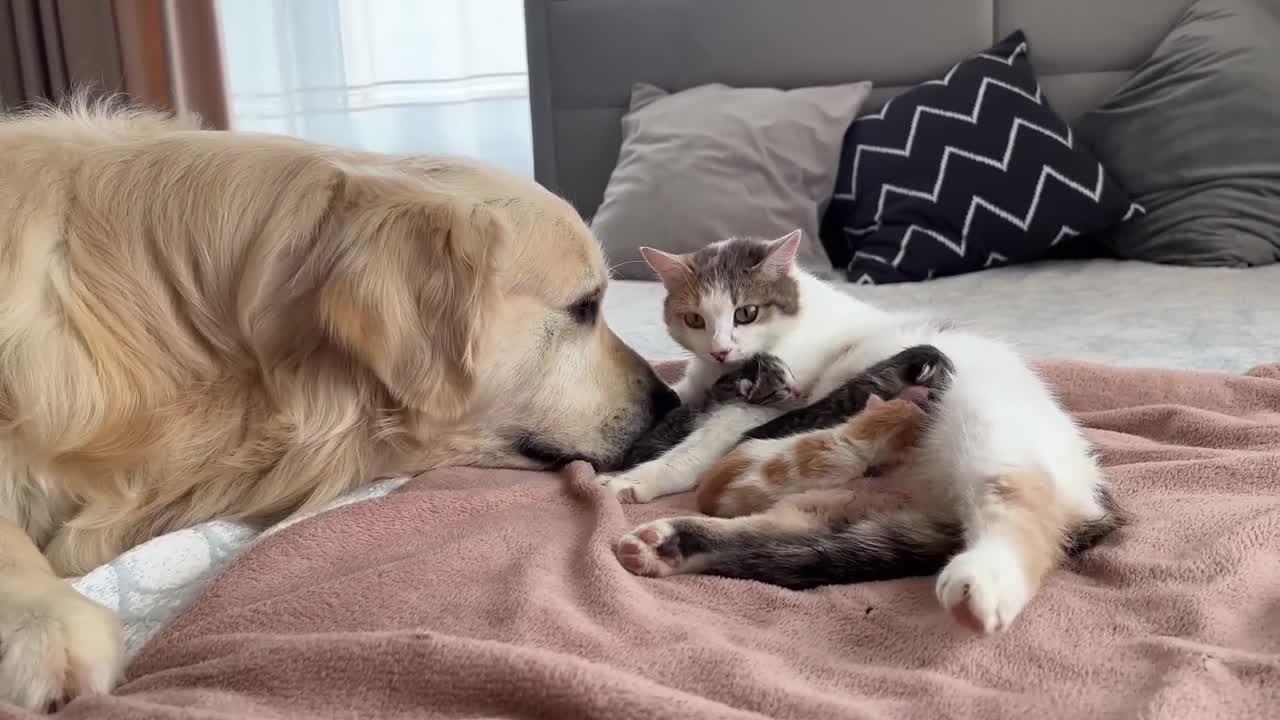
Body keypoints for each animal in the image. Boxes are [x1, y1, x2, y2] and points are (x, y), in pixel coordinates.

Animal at [599, 229, 1121, 632]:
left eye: (746, 313)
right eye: (694, 319)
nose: (722, 349)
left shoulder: (771, 399)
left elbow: (695, 448)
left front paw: (636, 478)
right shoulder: (699, 386)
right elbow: (677, 402)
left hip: (990, 436)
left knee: (1018, 512)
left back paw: (984, 585)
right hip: (838, 506)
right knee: (783, 538)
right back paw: (668, 546)